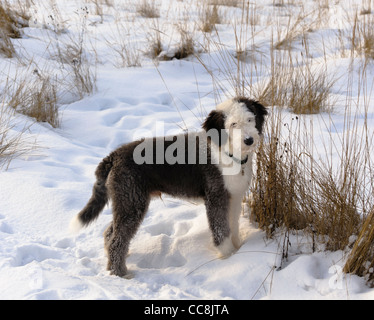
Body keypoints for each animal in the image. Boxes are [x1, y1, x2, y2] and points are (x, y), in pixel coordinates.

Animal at [70, 96, 268, 276]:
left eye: (250, 119)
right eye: (233, 124)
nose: (249, 140)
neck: (226, 152)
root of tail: (114, 155)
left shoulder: (234, 196)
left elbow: (233, 226)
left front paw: (238, 250)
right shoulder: (216, 197)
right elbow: (221, 229)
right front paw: (229, 257)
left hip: (125, 201)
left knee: (110, 233)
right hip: (132, 201)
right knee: (116, 241)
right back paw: (121, 273)